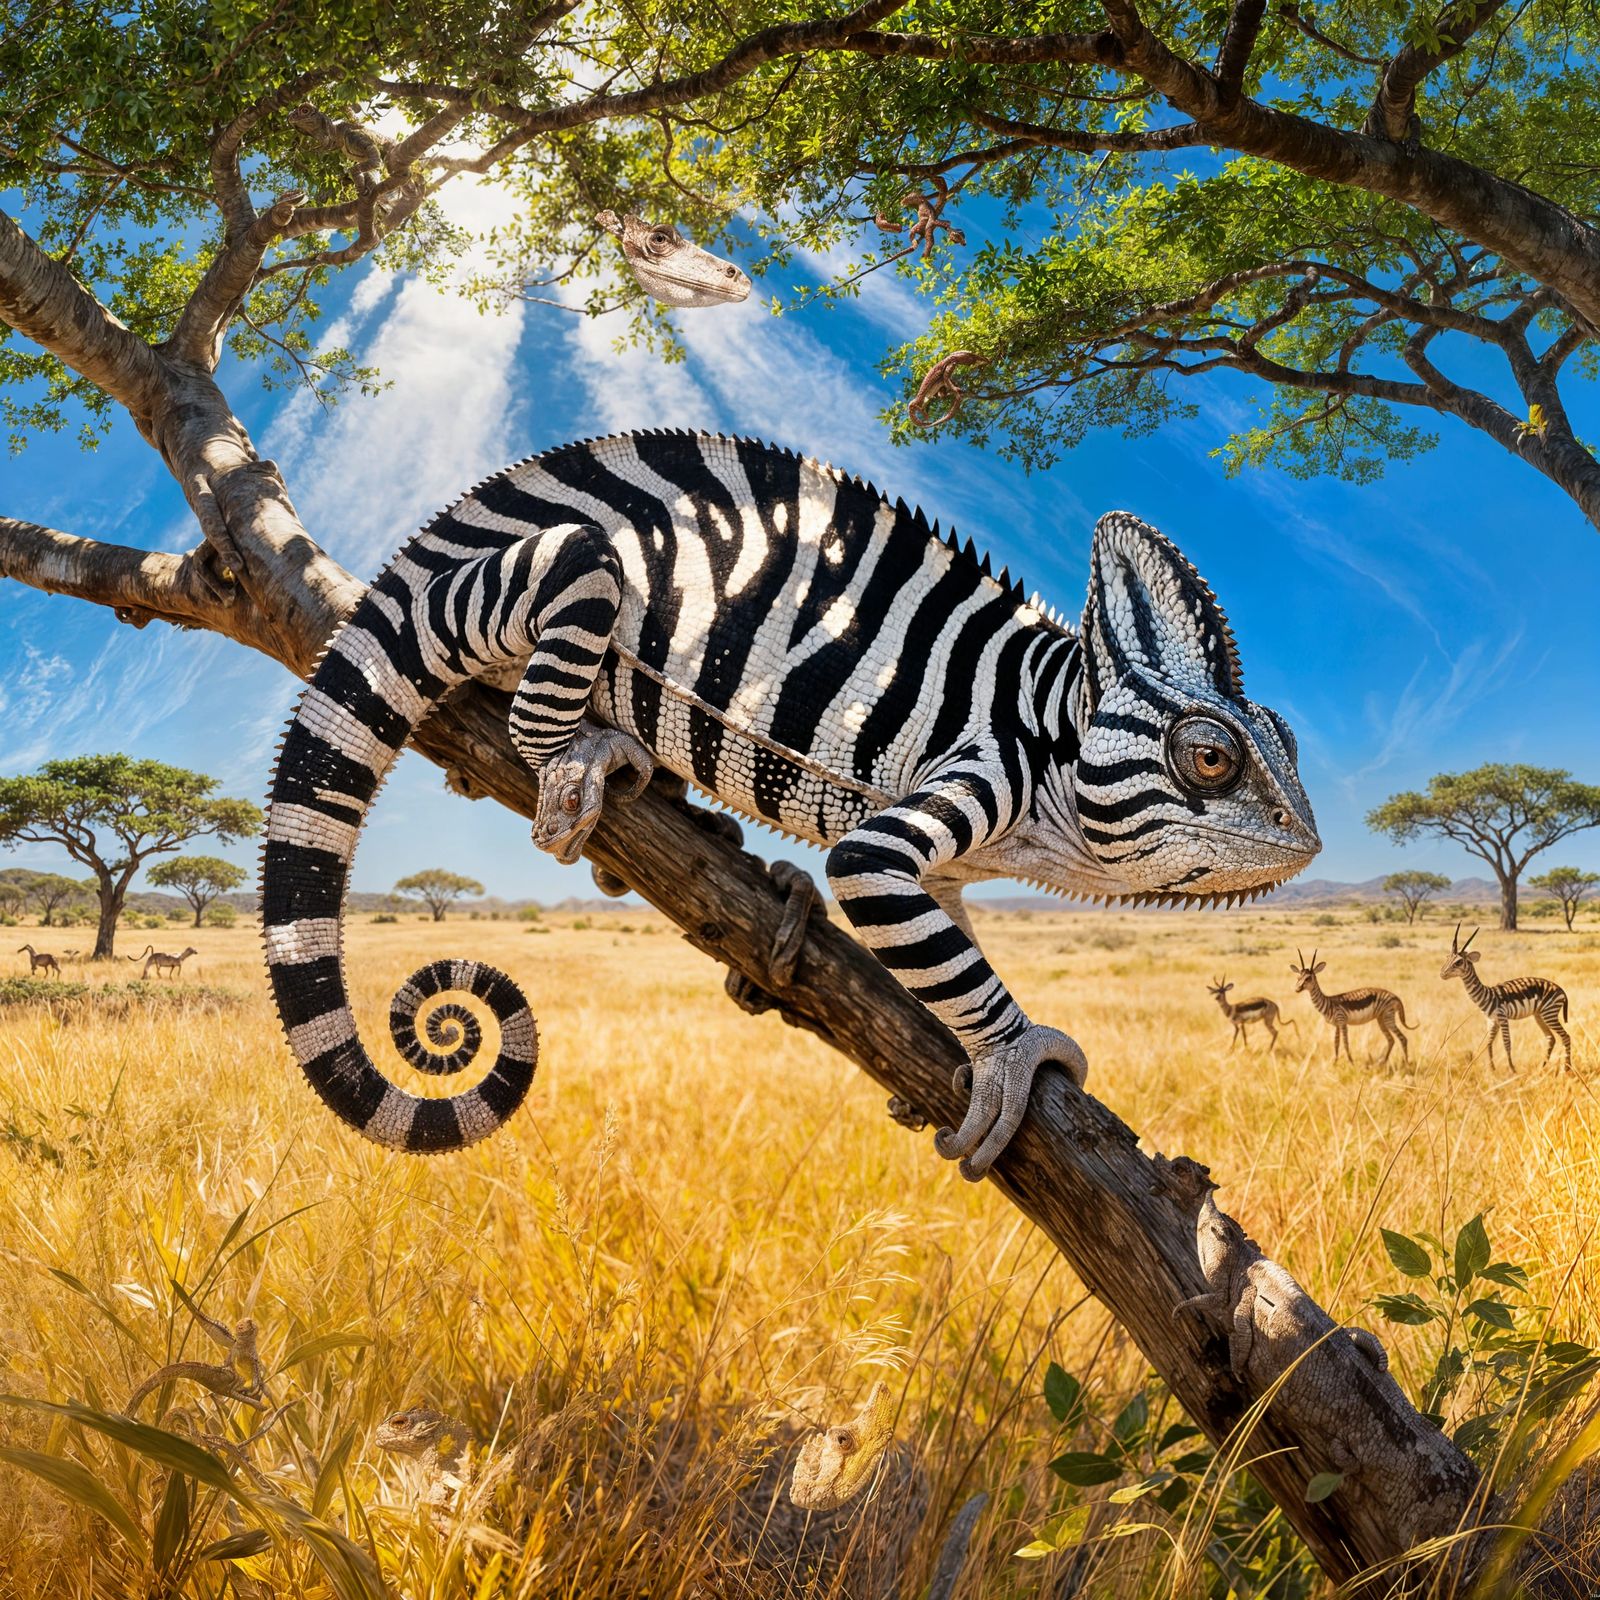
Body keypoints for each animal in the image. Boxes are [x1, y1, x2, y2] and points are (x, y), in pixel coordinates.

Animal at [1440, 924, 1571, 1073]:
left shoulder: (1502, 1018)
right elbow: (1488, 1043)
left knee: (1566, 1036)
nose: (1442, 974)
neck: (1487, 996)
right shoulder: (1492, 1020)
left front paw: (1512, 1070)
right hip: (1539, 1015)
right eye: (1447, 957)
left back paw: (1567, 1069)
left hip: (1549, 1013)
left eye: (1458, 962)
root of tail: (1561, 989)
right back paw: (1541, 1068)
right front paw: (1492, 1070)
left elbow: (1506, 1043)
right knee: (1551, 1038)